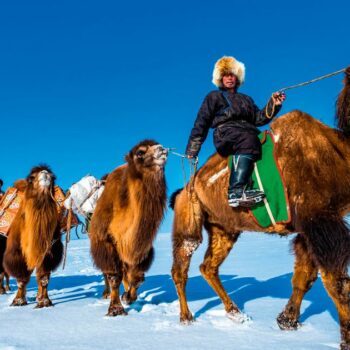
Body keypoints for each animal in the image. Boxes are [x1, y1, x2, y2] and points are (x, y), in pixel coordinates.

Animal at [3, 165, 63, 308]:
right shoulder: (18, 255)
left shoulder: (48, 254)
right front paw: (18, 301)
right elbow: (21, 279)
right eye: (32, 177)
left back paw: (38, 296)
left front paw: (44, 302)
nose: (45, 173)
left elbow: (44, 279)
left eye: (53, 177)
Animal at [89, 140, 167, 318]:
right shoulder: (106, 242)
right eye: (140, 152)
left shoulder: (142, 249)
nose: (162, 149)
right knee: (108, 273)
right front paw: (116, 309)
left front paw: (128, 297)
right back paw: (106, 293)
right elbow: (114, 276)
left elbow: (137, 277)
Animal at [171, 69, 350, 350]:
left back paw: (236, 313)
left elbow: (304, 276)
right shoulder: (321, 222)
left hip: (223, 228)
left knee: (208, 266)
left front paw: (287, 321)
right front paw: (346, 339)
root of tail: (186, 187)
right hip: (189, 217)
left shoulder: (309, 228)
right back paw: (186, 318)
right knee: (182, 264)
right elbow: (337, 283)